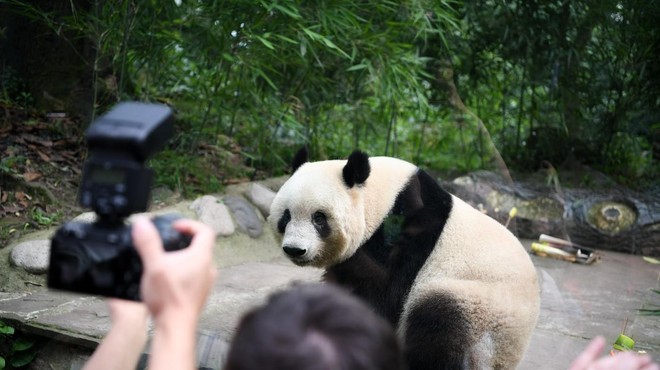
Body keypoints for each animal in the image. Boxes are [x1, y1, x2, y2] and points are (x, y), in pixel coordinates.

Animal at [268, 149, 540, 368]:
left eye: (319, 218)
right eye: (286, 216)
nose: (295, 250)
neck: (382, 197)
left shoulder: (406, 231)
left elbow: (383, 293)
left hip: (481, 309)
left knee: (439, 328)